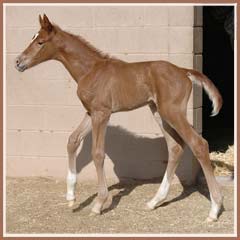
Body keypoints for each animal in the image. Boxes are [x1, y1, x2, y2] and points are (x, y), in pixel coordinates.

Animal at [15, 14, 223, 221]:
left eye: (40, 42)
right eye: (33, 38)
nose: (18, 62)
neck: (90, 70)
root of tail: (183, 70)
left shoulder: (102, 114)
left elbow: (97, 153)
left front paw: (98, 204)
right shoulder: (91, 112)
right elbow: (73, 140)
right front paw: (71, 197)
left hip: (172, 112)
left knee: (198, 144)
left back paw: (214, 209)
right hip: (158, 112)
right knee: (175, 147)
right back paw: (155, 201)